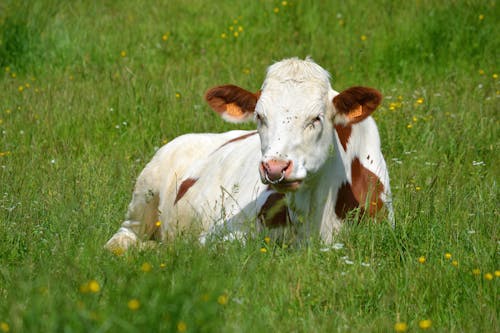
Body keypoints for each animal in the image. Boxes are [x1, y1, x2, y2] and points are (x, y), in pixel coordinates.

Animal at [105, 56, 392, 252]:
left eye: (316, 118)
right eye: (259, 116)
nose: (275, 168)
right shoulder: (216, 235)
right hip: (144, 193)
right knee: (122, 239)